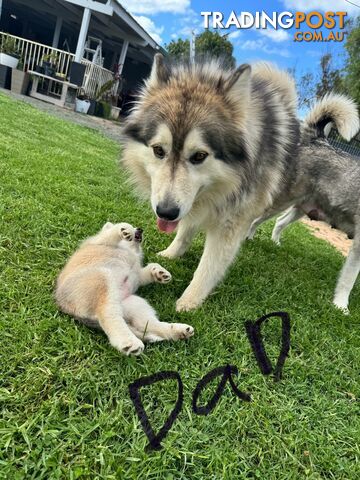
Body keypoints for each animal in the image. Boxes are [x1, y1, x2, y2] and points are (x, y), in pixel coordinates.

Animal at [54, 223, 194, 354]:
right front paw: (125, 230)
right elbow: (113, 231)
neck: (129, 249)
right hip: (102, 279)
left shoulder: (137, 275)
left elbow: (149, 269)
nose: (139, 229)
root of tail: (65, 306)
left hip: (134, 304)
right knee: (109, 315)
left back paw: (179, 331)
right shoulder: (100, 240)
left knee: (148, 324)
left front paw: (159, 273)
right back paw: (128, 342)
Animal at [122, 54, 300, 314]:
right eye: (158, 150)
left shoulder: (230, 223)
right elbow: (184, 231)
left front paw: (190, 301)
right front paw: (171, 253)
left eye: (199, 156)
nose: (165, 212)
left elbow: (208, 266)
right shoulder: (190, 204)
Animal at [248, 94, 360, 314]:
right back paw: (248, 238)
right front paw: (340, 306)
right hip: (280, 201)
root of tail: (319, 141)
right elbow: (347, 281)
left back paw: (275, 243)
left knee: (279, 222)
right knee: (254, 219)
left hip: (300, 208)